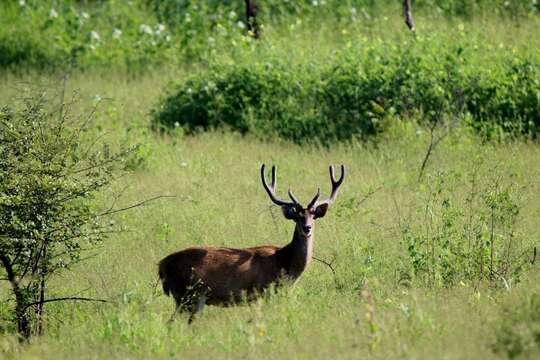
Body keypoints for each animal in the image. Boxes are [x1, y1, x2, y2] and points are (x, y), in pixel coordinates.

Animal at [158, 163, 344, 324]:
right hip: (191, 294)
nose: (307, 228)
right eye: (297, 216)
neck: (285, 264)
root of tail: (162, 265)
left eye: (313, 215)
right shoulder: (261, 292)